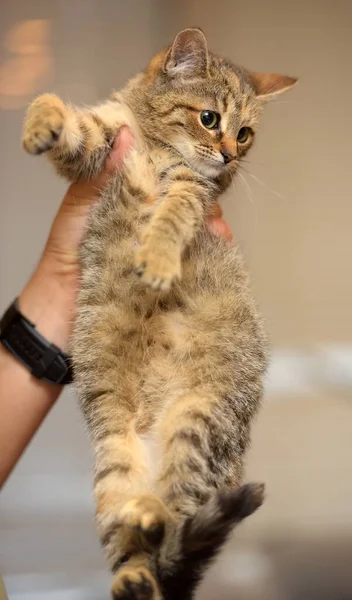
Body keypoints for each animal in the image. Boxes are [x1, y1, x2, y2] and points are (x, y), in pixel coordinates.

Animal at [22, 27, 296, 600]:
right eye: (210, 118)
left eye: (246, 134)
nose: (228, 156)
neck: (157, 148)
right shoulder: (99, 150)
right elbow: (79, 123)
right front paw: (44, 119)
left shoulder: (195, 191)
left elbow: (171, 216)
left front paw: (158, 258)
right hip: (113, 465)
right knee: (144, 556)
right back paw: (134, 564)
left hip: (196, 425)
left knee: (177, 522)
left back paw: (155, 515)